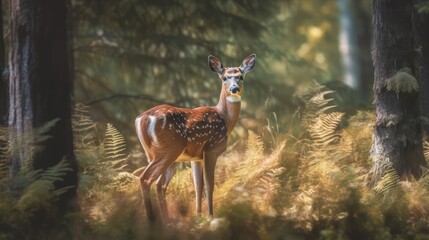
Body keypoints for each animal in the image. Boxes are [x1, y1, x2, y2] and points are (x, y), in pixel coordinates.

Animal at [135, 53, 254, 222]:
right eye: (224, 77)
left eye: (241, 76)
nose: (234, 89)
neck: (225, 118)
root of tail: (143, 118)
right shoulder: (211, 149)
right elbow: (210, 185)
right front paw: (210, 216)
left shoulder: (196, 157)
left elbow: (198, 185)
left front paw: (198, 216)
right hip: (169, 149)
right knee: (146, 179)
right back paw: (152, 221)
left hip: (155, 154)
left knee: (160, 185)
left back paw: (165, 220)